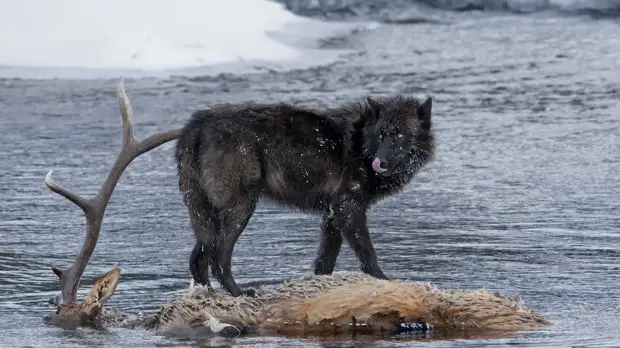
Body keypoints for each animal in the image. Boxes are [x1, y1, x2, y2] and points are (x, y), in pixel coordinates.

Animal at [174, 94, 436, 296]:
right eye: (381, 134)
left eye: (399, 135)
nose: (378, 162)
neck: (361, 142)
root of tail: (195, 125)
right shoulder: (348, 207)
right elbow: (367, 253)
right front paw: (384, 281)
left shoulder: (333, 215)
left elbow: (325, 262)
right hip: (240, 209)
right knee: (219, 258)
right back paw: (238, 293)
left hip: (207, 214)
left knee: (198, 259)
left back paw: (206, 295)